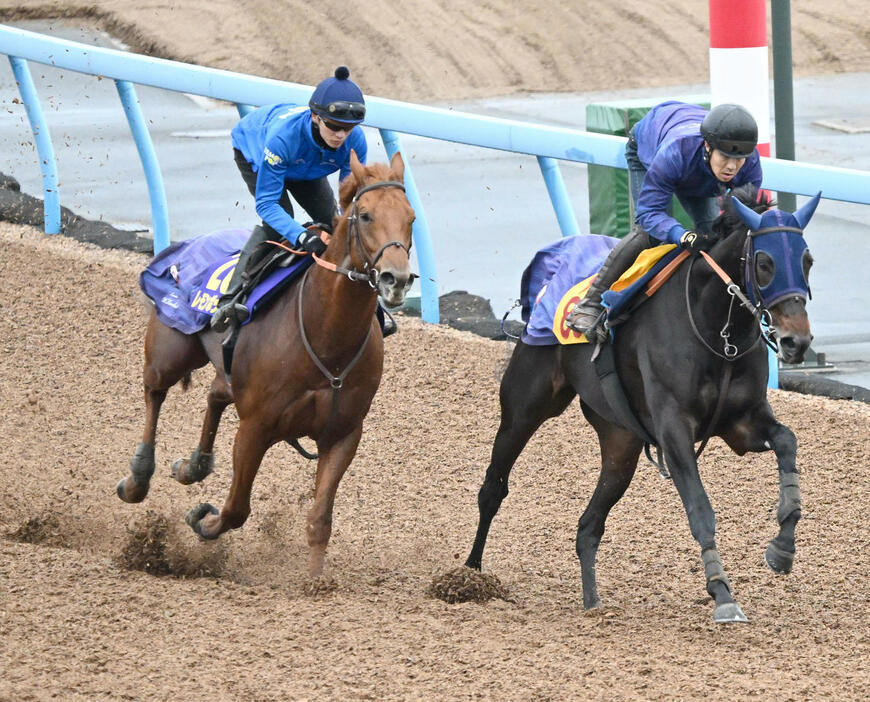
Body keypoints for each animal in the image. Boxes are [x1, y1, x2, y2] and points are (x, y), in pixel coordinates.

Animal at [117, 151, 418, 580]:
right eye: (365, 216)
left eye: (411, 218)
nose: (397, 279)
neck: (326, 338)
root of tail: (186, 246)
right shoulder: (255, 427)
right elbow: (236, 508)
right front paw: (202, 518)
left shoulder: (343, 434)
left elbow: (320, 519)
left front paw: (315, 582)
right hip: (169, 350)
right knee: (154, 391)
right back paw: (139, 477)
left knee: (215, 394)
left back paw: (193, 466)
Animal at [466, 186, 820, 620]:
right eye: (765, 262)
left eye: (807, 260)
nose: (796, 341)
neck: (717, 331)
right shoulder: (673, 430)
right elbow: (700, 510)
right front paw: (722, 593)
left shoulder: (743, 422)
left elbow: (787, 441)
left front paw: (782, 546)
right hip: (524, 406)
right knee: (493, 487)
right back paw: (470, 573)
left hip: (621, 443)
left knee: (588, 526)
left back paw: (592, 602)